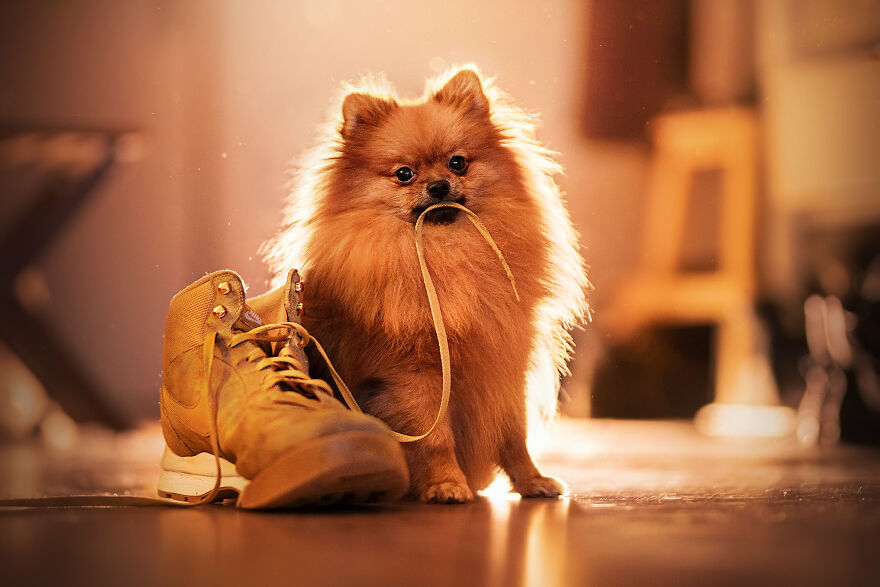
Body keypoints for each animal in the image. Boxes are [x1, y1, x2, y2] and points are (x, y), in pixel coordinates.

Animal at [264, 68, 588, 500]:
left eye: (458, 163)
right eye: (404, 174)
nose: (438, 185)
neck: (444, 253)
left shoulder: (504, 363)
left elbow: (513, 434)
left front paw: (532, 480)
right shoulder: (415, 374)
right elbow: (436, 438)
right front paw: (446, 483)